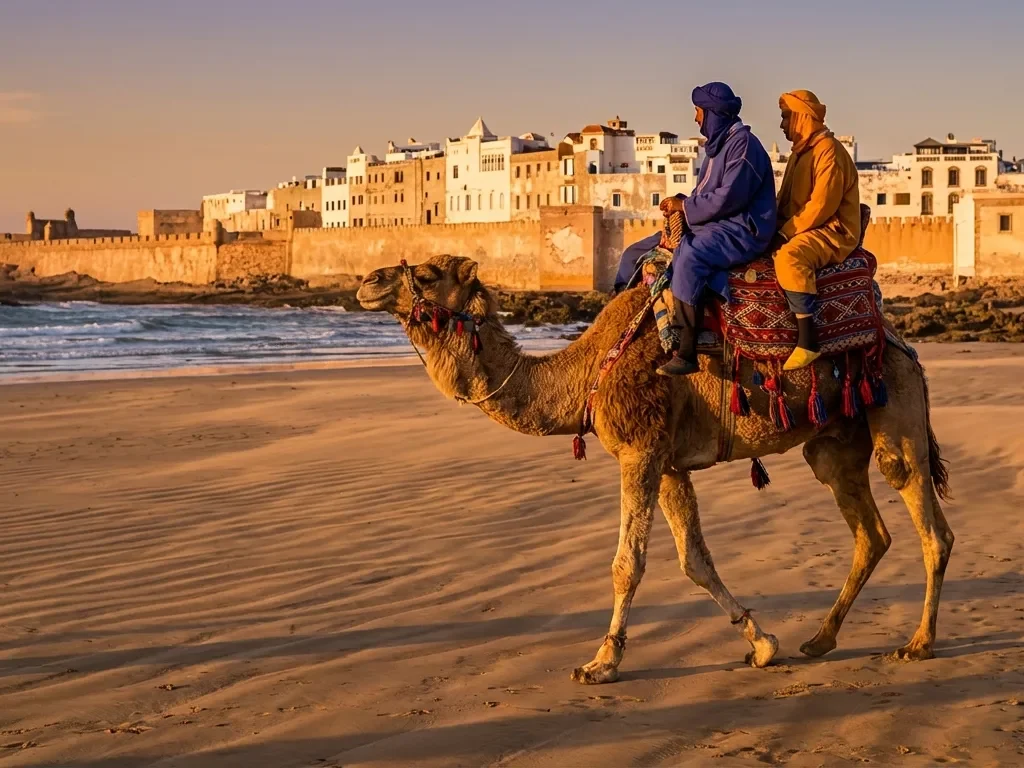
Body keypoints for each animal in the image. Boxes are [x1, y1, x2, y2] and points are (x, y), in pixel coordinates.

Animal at [356, 254, 953, 685]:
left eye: (427, 274)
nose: (367, 281)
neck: (587, 373)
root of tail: (901, 340)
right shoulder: (667, 464)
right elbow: (695, 560)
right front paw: (762, 644)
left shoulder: (639, 450)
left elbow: (629, 563)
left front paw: (600, 663)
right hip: (835, 439)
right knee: (869, 531)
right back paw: (820, 640)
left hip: (896, 404)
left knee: (928, 521)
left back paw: (918, 644)